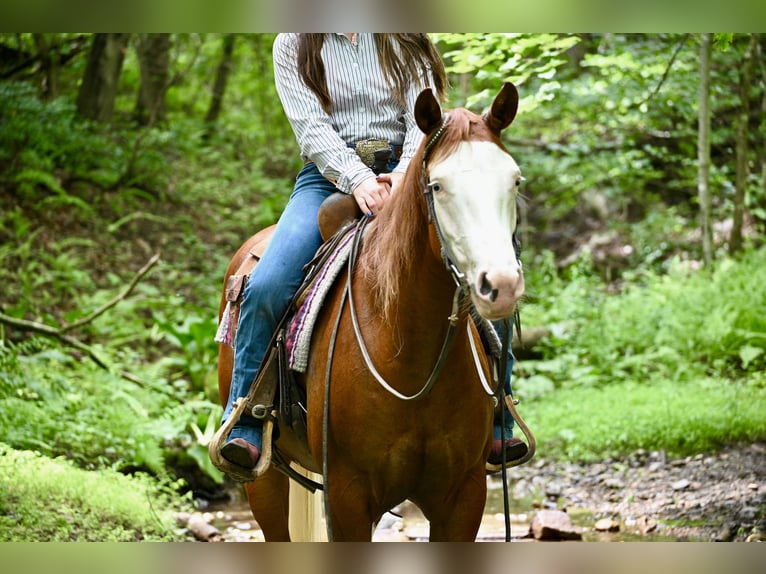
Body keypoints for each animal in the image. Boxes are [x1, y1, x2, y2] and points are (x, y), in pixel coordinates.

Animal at [215, 83, 525, 541]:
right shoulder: (348, 496)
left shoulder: (463, 496)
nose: (500, 284)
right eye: (437, 186)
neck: (408, 354)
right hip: (266, 479)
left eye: (514, 180)